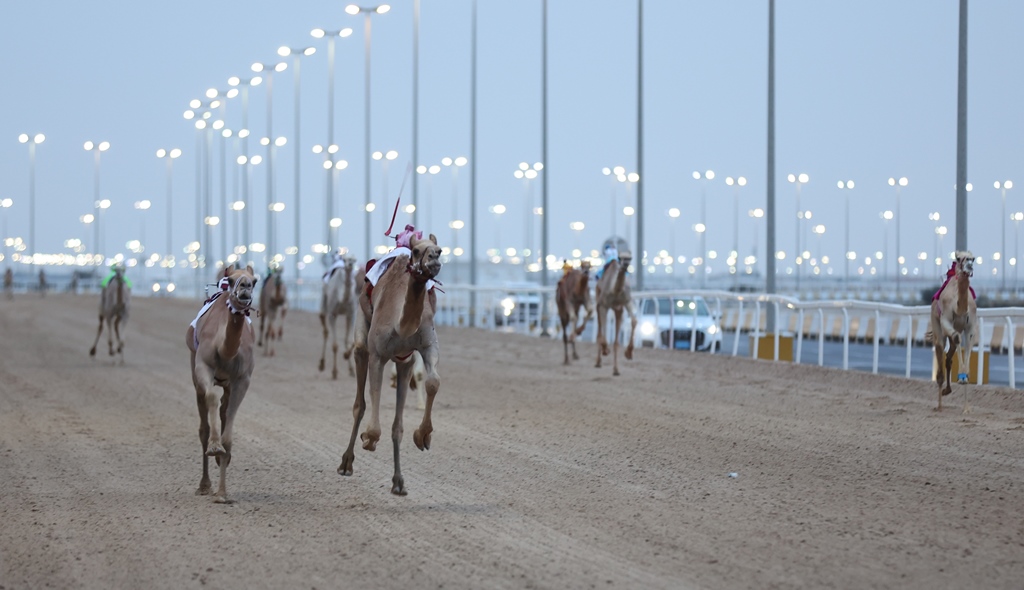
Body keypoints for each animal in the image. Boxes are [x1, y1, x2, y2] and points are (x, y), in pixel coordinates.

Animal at [185, 264, 258, 503]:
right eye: (231, 279)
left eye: (255, 281)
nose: (244, 287)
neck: (224, 348)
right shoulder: (203, 367)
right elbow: (211, 399)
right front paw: (214, 447)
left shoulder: (242, 379)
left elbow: (229, 433)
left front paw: (223, 494)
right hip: (194, 371)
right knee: (203, 427)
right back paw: (204, 485)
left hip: (227, 384)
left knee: (225, 411)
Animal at [339, 232, 444, 495]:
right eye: (416, 251)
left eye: (439, 249)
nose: (433, 260)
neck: (401, 324)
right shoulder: (378, 354)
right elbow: (371, 409)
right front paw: (369, 438)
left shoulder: (422, 349)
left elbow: (433, 382)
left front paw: (423, 436)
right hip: (362, 337)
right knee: (359, 402)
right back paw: (346, 463)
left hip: (402, 360)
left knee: (397, 422)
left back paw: (398, 481)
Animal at [929, 250, 974, 411]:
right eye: (959, 258)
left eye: (973, 259)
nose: (969, 266)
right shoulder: (946, 321)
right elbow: (957, 338)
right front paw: (961, 378)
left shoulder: (970, 326)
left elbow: (967, 344)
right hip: (936, 321)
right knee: (940, 346)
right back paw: (939, 404)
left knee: (949, 356)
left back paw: (947, 390)